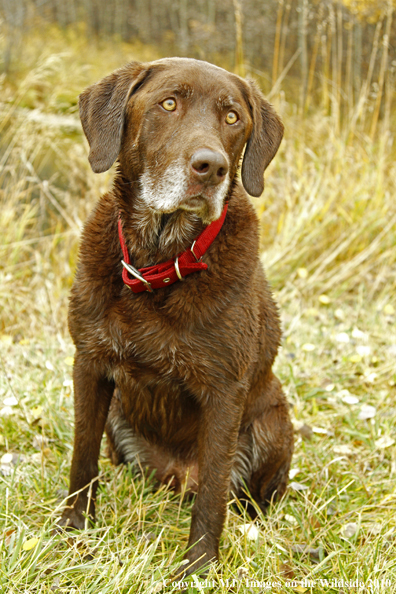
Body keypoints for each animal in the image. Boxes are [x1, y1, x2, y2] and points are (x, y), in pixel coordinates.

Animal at [59, 59, 294, 572]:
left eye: (232, 117)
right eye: (169, 103)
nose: (212, 167)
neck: (159, 263)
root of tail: (174, 476)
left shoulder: (224, 392)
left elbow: (212, 497)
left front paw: (199, 567)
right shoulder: (89, 363)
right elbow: (82, 458)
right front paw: (72, 529)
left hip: (271, 423)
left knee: (237, 495)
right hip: (119, 417)